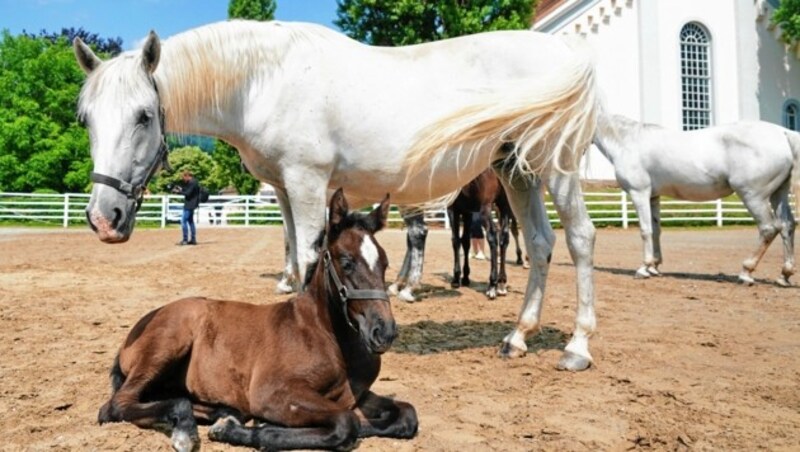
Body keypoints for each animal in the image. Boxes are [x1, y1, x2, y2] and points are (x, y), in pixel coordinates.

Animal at [98, 189, 418, 450]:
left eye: (385, 263)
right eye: (346, 262)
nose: (384, 332)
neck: (326, 335)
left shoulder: (357, 395)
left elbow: (406, 415)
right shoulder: (272, 392)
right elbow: (345, 422)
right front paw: (251, 431)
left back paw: (223, 414)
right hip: (167, 345)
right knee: (116, 405)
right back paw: (186, 430)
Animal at [446, 168, 520, 298]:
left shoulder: (453, 209)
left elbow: (456, 241)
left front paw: (456, 279)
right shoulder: (467, 212)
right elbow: (465, 242)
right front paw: (465, 277)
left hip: (486, 207)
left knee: (492, 235)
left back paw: (492, 285)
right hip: (504, 205)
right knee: (504, 237)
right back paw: (501, 283)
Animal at [592, 115, 800, 284]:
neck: (627, 140)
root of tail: (783, 133)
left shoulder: (639, 193)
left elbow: (645, 230)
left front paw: (644, 269)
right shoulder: (653, 196)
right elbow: (656, 230)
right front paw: (654, 267)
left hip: (753, 196)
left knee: (768, 228)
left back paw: (746, 272)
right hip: (778, 194)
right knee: (787, 225)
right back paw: (784, 276)